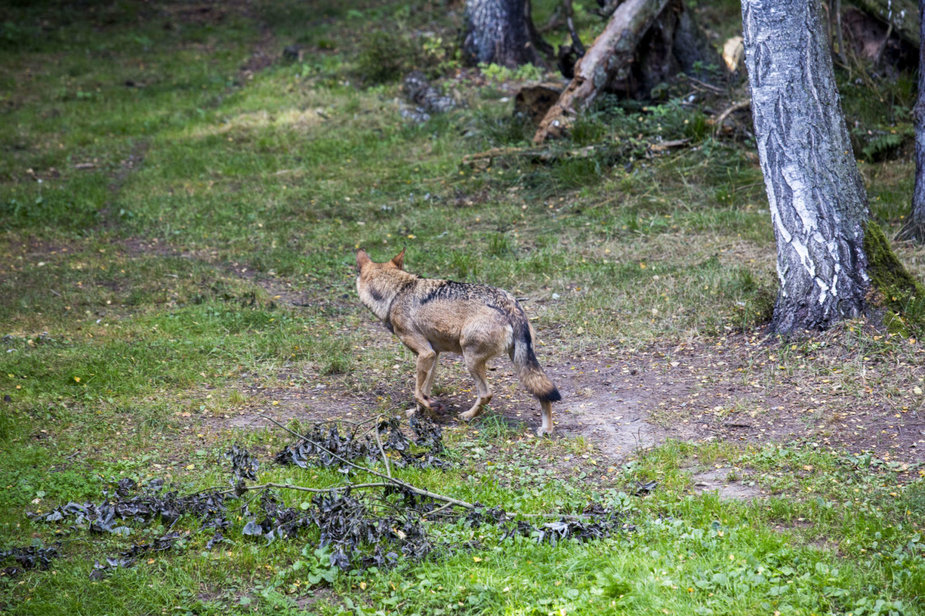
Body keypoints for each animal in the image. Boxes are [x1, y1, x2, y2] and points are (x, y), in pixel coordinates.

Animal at [356, 248, 560, 436]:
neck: (396, 294)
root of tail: (511, 305)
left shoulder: (426, 354)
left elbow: (418, 393)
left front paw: (433, 407)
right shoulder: (433, 355)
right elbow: (423, 391)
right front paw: (419, 412)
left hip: (471, 360)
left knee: (486, 394)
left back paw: (467, 416)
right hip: (521, 362)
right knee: (543, 393)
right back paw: (546, 429)